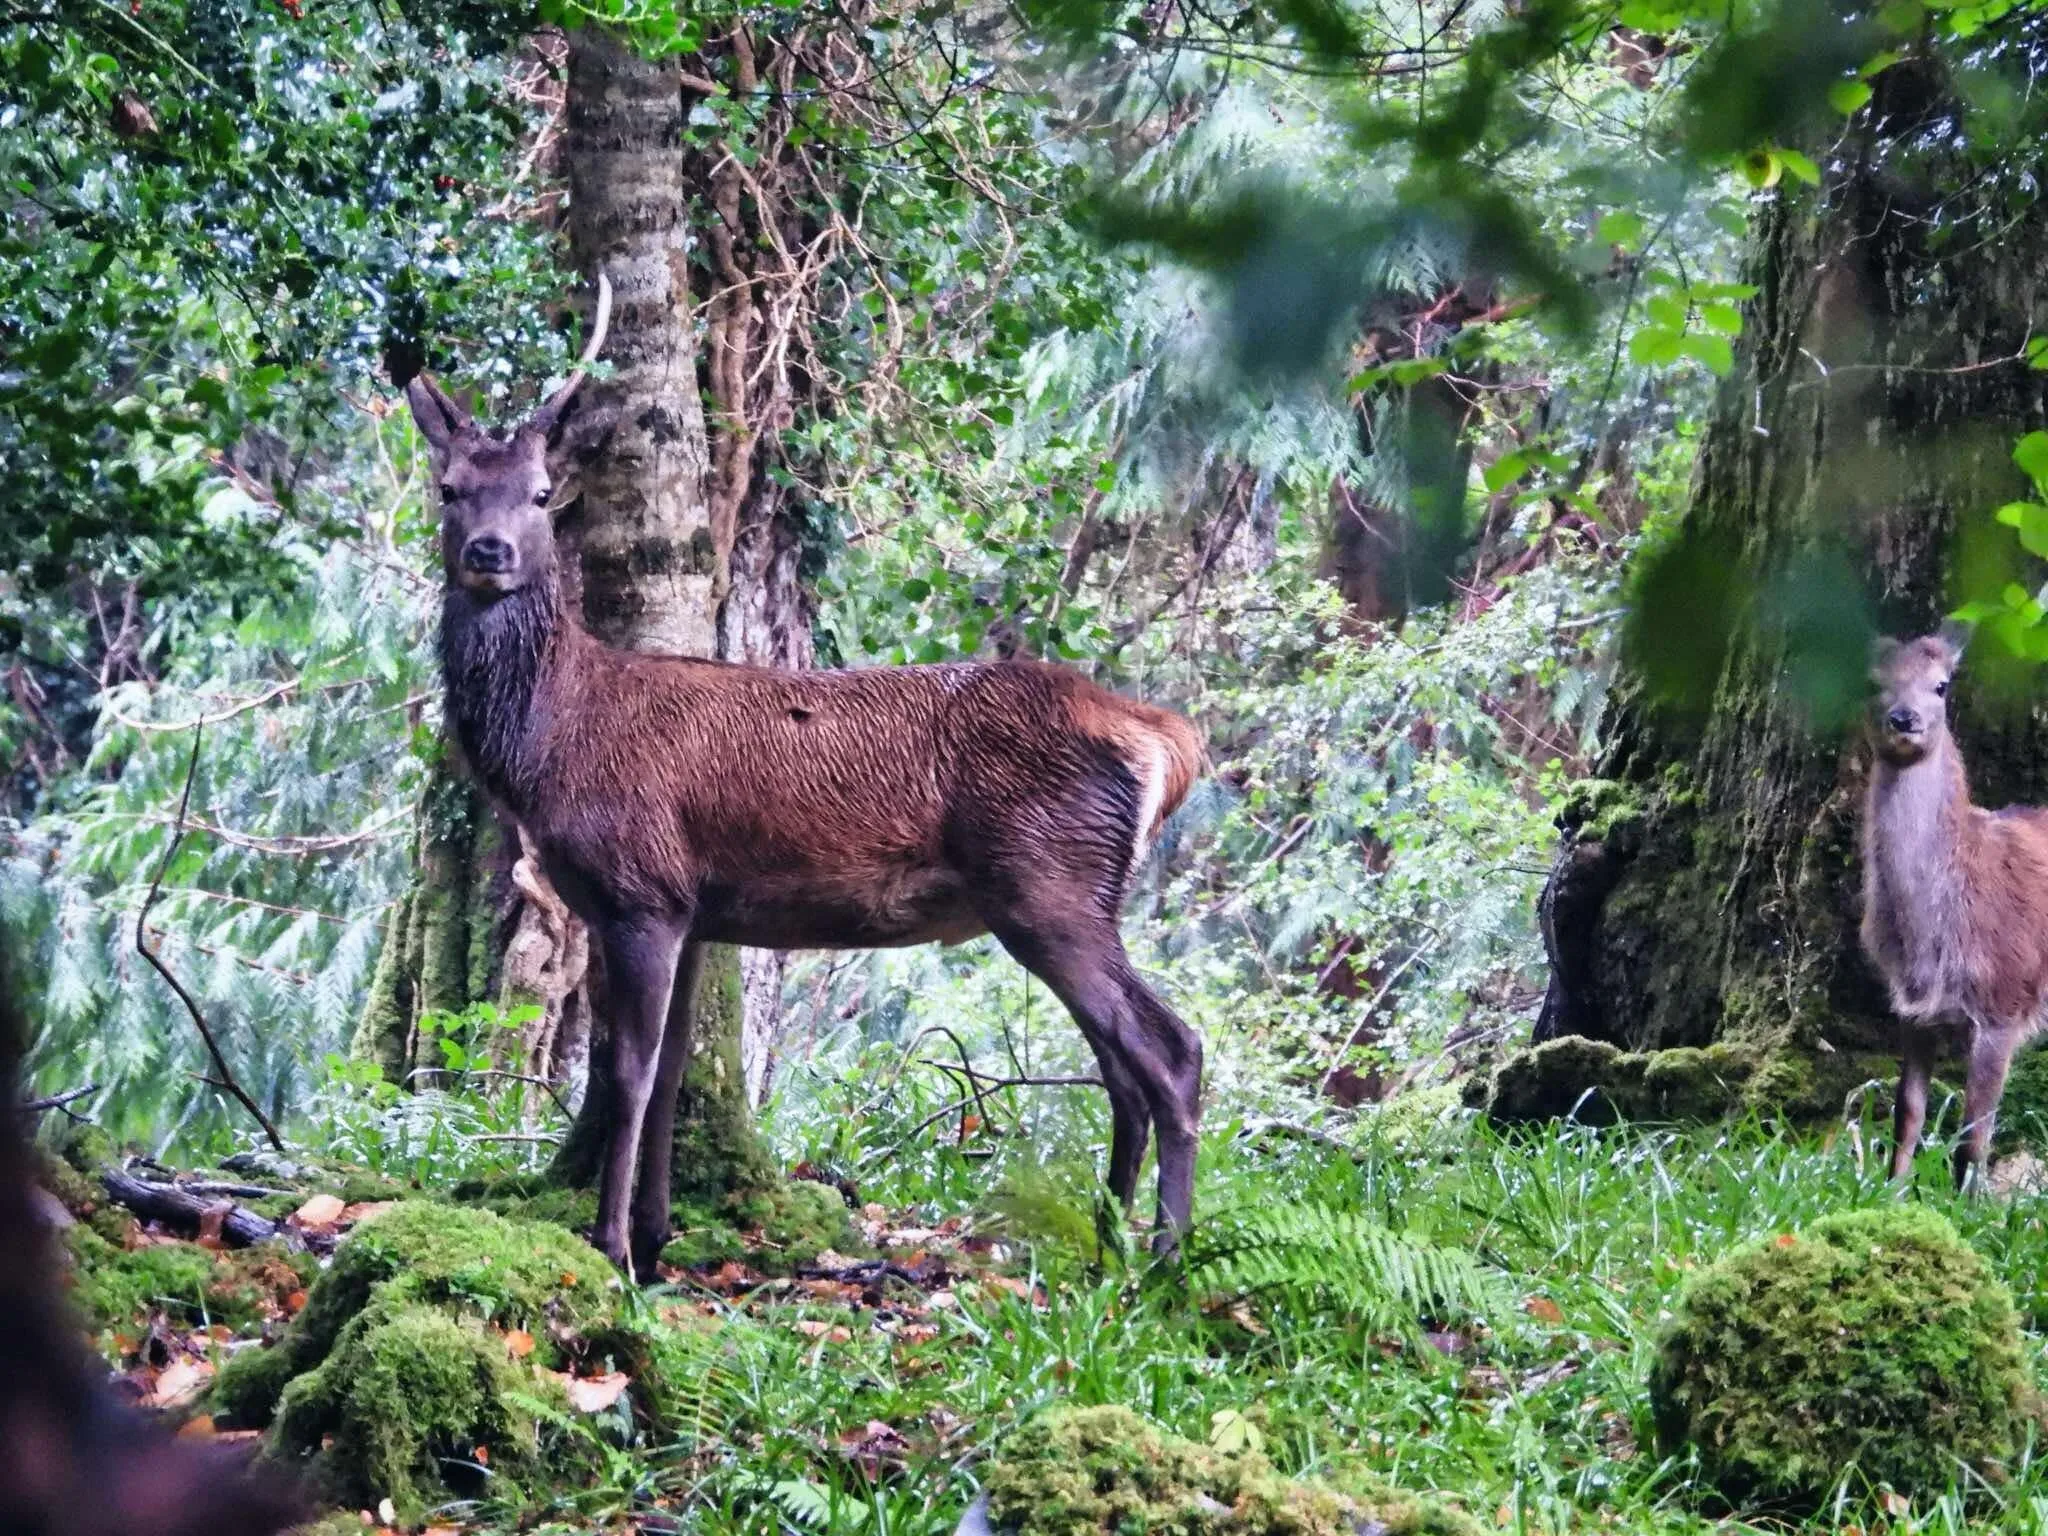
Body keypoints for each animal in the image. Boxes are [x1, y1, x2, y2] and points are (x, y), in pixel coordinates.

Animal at [406, 280, 1208, 1277]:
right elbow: (677, 1070)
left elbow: (628, 1072)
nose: (489, 551)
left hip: (1049, 880)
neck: (555, 740)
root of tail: (1167, 741)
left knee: (1171, 1052)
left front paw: (613, 1246)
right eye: (449, 489)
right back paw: (1103, 1251)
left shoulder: (640, 888)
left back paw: (1162, 1264)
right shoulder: (697, 908)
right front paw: (658, 1237)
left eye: (543, 494)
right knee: (1120, 1069)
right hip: (1064, 891)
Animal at [1863, 620, 2048, 1190]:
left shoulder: (2003, 1004)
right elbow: (1907, 1112)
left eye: (1942, 685)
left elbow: (1972, 1133)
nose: (1904, 719)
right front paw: (1892, 1191)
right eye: (1873, 682)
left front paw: (1969, 1205)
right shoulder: (1911, 1008)